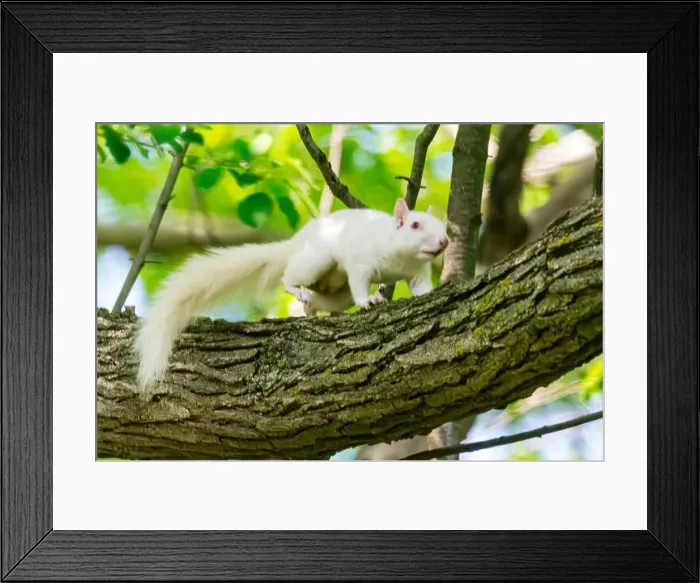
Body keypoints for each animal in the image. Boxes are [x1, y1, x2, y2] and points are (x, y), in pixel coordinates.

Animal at [133, 197, 450, 387]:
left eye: (444, 226)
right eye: (415, 224)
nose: (444, 241)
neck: (401, 256)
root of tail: (295, 244)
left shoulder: (418, 272)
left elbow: (422, 287)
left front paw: (431, 295)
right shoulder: (361, 260)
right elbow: (360, 283)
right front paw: (369, 300)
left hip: (336, 290)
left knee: (325, 298)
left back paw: (312, 307)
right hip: (317, 260)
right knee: (289, 276)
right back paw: (300, 292)